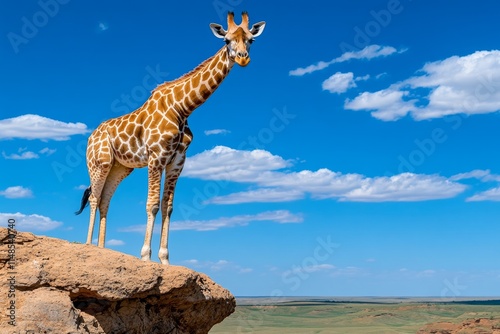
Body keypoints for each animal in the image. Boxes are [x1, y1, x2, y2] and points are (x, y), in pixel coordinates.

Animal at [75, 11, 266, 264]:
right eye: (226, 40)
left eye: (251, 40)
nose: (243, 59)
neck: (183, 108)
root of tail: (89, 137)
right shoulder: (156, 156)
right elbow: (153, 204)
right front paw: (145, 256)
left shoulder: (177, 161)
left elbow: (168, 206)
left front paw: (164, 259)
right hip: (100, 162)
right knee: (95, 198)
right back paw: (89, 246)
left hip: (121, 167)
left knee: (105, 199)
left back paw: (103, 249)